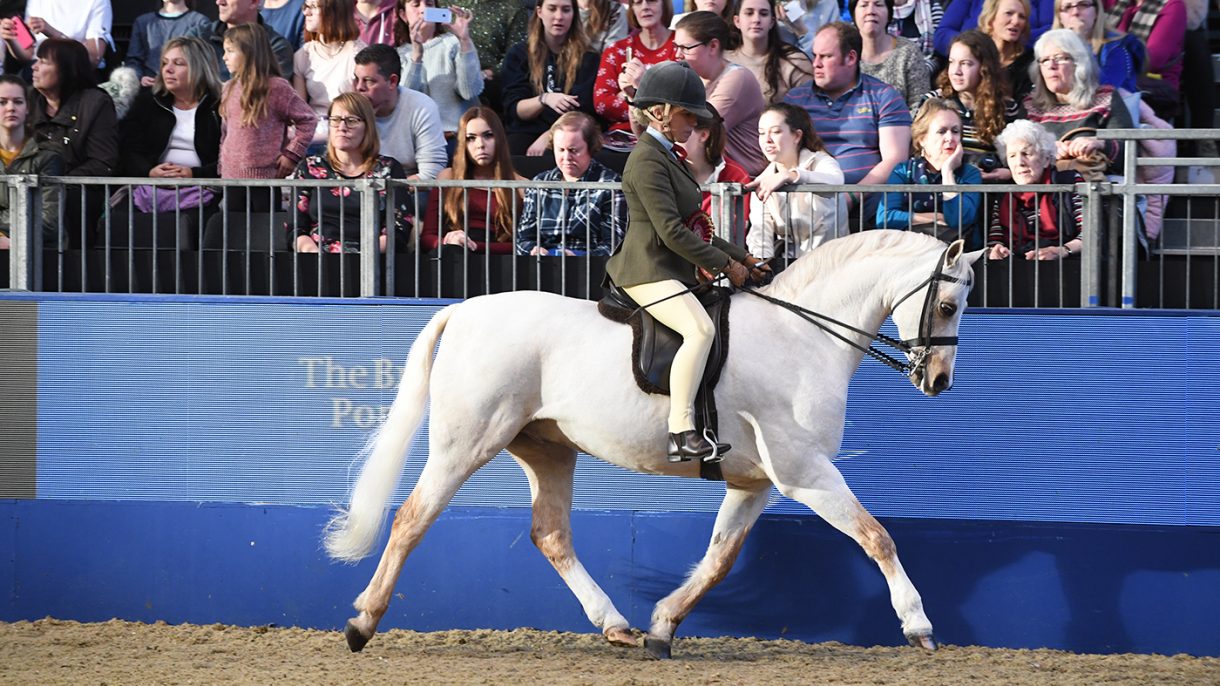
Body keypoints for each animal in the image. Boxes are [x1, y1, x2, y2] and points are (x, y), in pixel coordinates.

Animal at [324, 230, 982, 658]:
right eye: (949, 304)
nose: (937, 381)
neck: (803, 335)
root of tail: (461, 311)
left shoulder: (752, 484)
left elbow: (718, 560)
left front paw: (663, 626)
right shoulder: (805, 473)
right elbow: (877, 536)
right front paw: (918, 624)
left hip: (548, 449)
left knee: (551, 535)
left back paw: (616, 626)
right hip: (467, 442)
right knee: (412, 518)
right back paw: (362, 622)